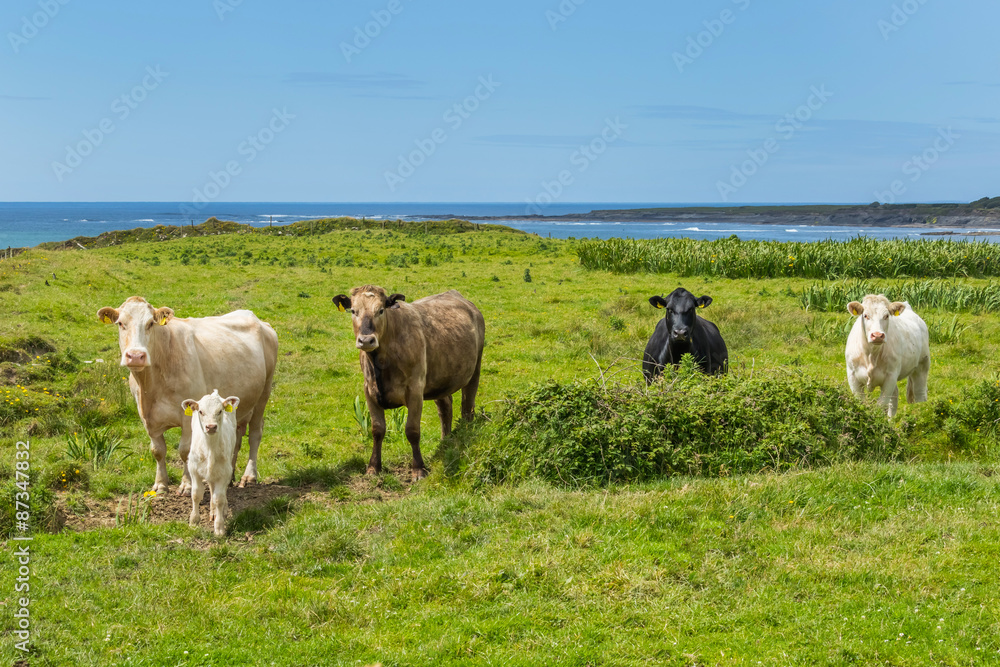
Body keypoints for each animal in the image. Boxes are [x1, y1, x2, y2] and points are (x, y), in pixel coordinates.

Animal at [98, 298, 278, 496]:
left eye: (151, 323)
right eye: (121, 323)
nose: (136, 356)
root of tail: (259, 320)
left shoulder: (189, 415)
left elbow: (185, 451)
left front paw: (186, 485)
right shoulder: (147, 417)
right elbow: (157, 451)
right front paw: (160, 485)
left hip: (264, 392)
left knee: (255, 433)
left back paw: (249, 476)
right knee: (236, 437)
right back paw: (229, 477)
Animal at [183, 392, 241, 536]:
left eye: (220, 411)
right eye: (201, 411)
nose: (211, 427)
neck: (209, 449)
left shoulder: (225, 472)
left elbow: (219, 498)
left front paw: (219, 528)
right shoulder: (193, 469)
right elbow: (196, 494)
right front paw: (194, 521)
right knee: (210, 485)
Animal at [334, 286, 486, 480]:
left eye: (381, 310)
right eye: (353, 311)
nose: (366, 340)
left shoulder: (415, 390)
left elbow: (412, 430)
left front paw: (418, 469)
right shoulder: (369, 390)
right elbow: (377, 430)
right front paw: (373, 467)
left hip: (475, 369)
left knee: (467, 408)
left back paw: (464, 437)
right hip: (440, 377)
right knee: (445, 408)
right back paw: (445, 442)